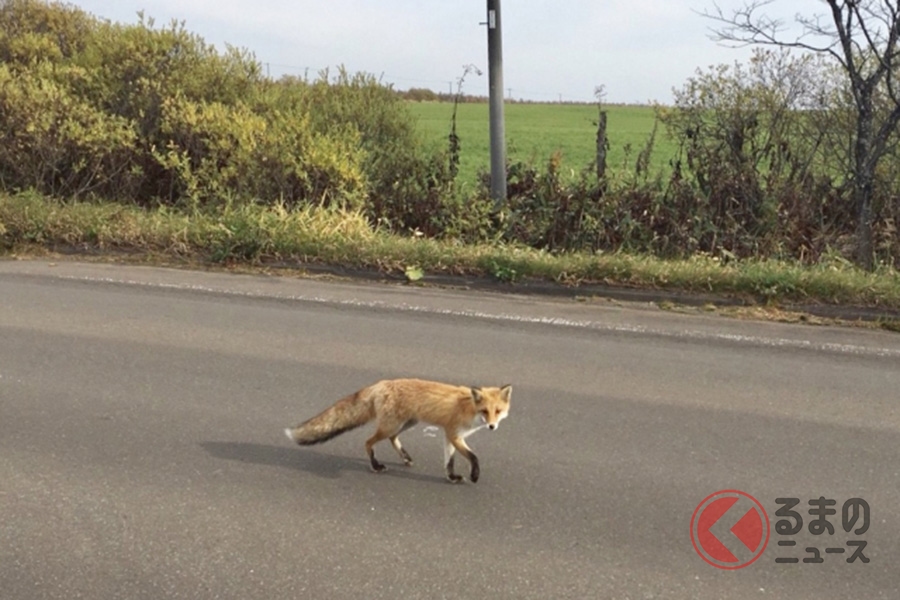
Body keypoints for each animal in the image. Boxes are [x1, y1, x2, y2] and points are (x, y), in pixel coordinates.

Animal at [288, 380, 512, 482]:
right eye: (485, 411)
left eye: (498, 411)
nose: (492, 426)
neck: (470, 410)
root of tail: (380, 384)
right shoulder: (453, 434)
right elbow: (474, 457)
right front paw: (474, 475)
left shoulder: (451, 436)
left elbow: (449, 461)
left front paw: (452, 477)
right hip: (391, 426)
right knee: (368, 442)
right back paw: (376, 466)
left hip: (405, 424)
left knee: (393, 439)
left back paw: (405, 457)